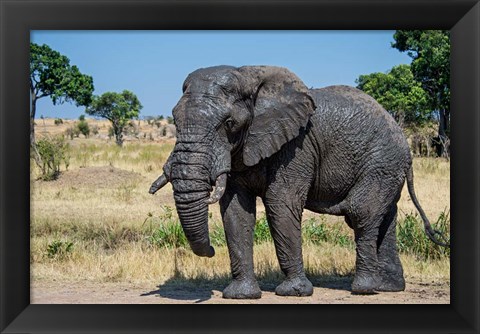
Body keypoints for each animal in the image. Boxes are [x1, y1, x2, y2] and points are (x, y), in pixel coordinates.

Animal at [149, 64, 446, 298]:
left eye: (229, 123)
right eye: (174, 118)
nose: (210, 250)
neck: (249, 76)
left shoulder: (296, 147)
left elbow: (280, 204)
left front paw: (293, 293)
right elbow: (235, 211)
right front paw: (240, 296)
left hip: (382, 161)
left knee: (361, 212)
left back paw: (364, 289)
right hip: (388, 167)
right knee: (386, 217)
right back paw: (388, 288)